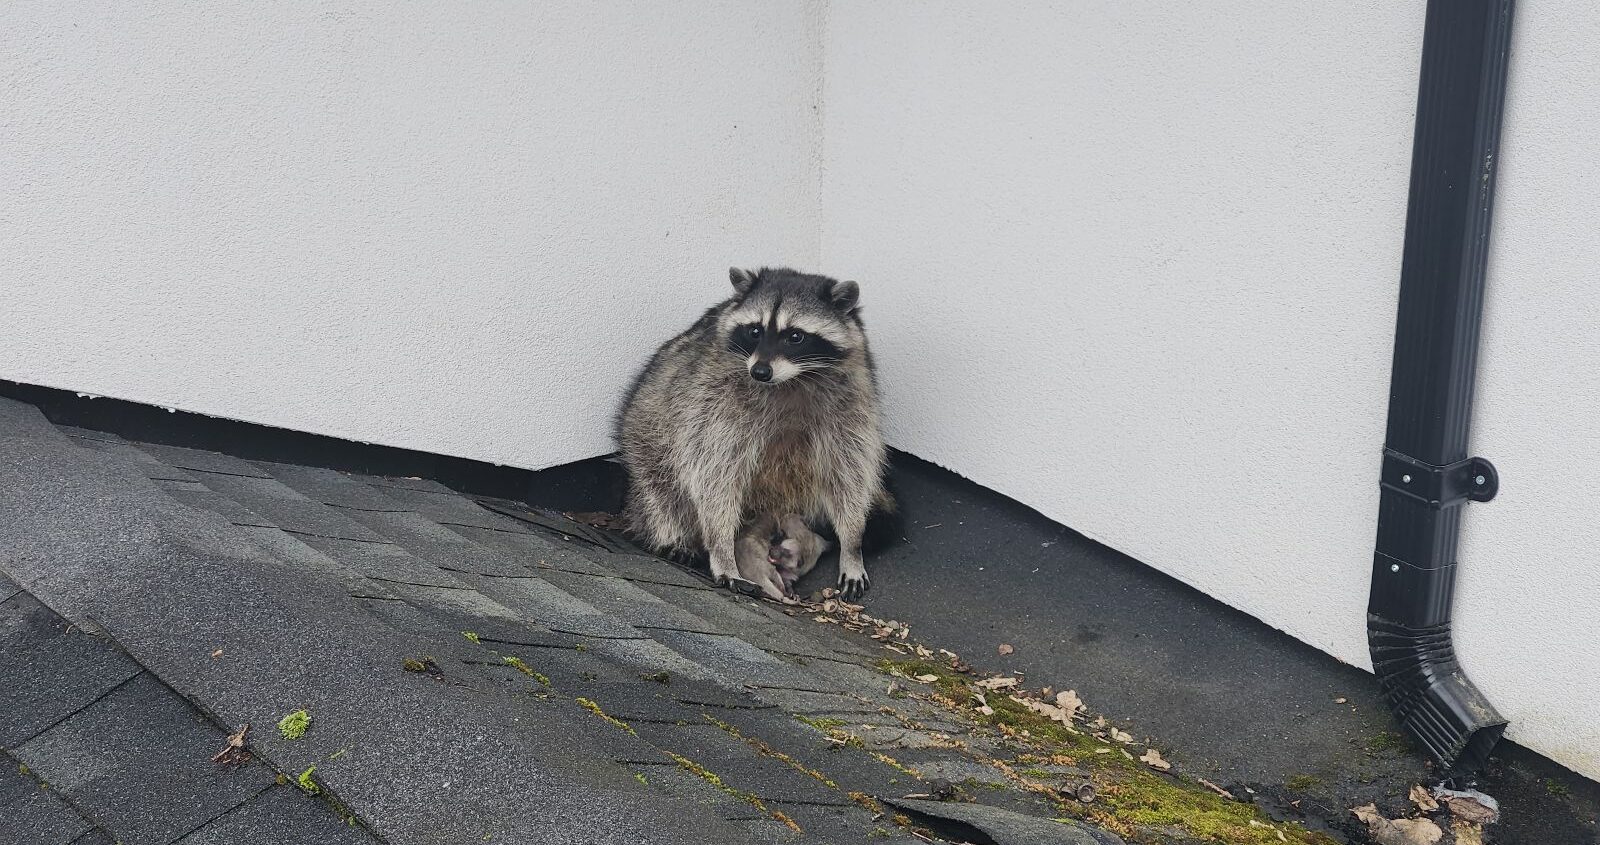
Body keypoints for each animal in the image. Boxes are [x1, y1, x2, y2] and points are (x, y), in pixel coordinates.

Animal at [616, 267, 888, 600]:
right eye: (755, 331)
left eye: (795, 336)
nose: (760, 371)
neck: (792, 380)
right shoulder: (714, 406)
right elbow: (714, 477)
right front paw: (721, 550)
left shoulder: (850, 404)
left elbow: (849, 474)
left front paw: (852, 544)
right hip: (647, 431)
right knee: (662, 490)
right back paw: (672, 535)